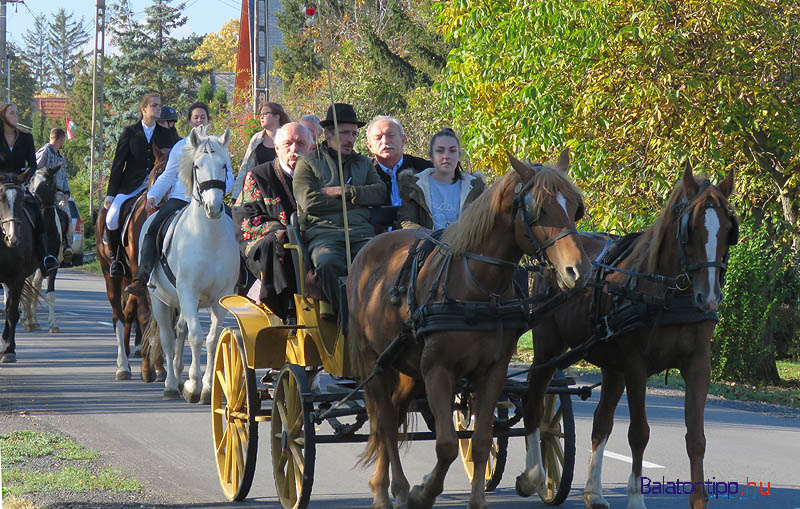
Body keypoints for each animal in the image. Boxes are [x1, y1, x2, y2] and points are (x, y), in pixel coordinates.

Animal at [94, 146, 168, 380]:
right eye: (157, 172)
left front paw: (159, 366)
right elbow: (145, 316)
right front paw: (148, 368)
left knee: (128, 312)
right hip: (111, 275)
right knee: (118, 315)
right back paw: (123, 366)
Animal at [145, 126, 239, 400]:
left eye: (224, 165)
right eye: (197, 166)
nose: (213, 207)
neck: (208, 237)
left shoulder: (220, 296)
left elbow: (212, 338)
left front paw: (208, 387)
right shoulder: (189, 292)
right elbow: (196, 337)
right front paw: (194, 385)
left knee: (180, 330)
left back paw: (177, 377)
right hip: (160, 301)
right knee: (168, 337)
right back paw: (170, 385)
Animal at [346, 150, 592, 508]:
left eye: (575, 207)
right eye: (539, 210)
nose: (579, 271)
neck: (476, 288)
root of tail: (367, 250)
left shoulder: (492, 371)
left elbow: (481, 441)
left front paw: (473, 500)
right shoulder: (438, 370)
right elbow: (447, 445)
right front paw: (424, 492)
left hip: (407, 367)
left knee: (394, 411)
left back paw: (395, 487)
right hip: (373, 361)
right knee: (385, 422)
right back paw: (386, 490)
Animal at [520, 164, 736, 508]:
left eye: (729, 230)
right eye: (690, 229)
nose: (710, 297)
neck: (666, 292)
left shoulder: (698, 365)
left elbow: (696, 438)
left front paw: (699, 501)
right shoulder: (637, 365)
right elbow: (639, 433)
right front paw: (635, 497)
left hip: (612, 367)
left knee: (600, 422)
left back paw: (593, 492)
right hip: (548, 347)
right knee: (534, 401)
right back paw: (533, 476)